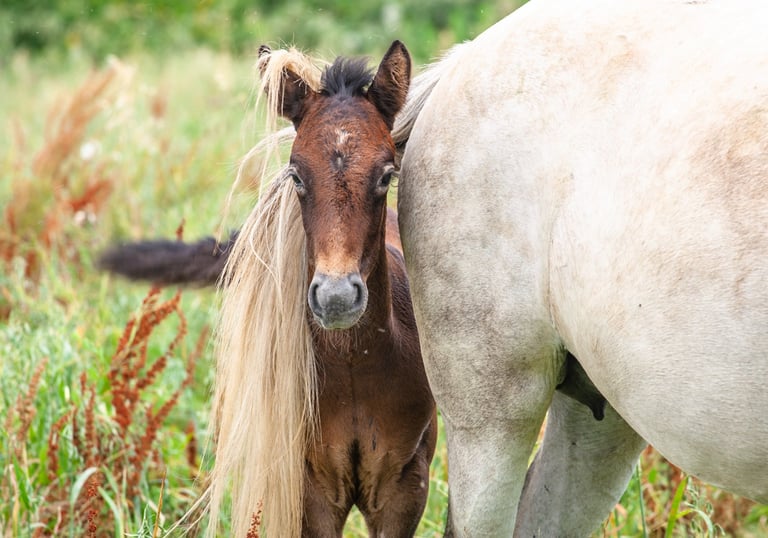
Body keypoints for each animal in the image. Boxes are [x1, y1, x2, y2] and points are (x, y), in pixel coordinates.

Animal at [102, 43, 440, 537]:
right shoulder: (312, 487)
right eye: (296, 175)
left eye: (386, 175)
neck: (355, 365)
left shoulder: (405, 486)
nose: (336, 298)